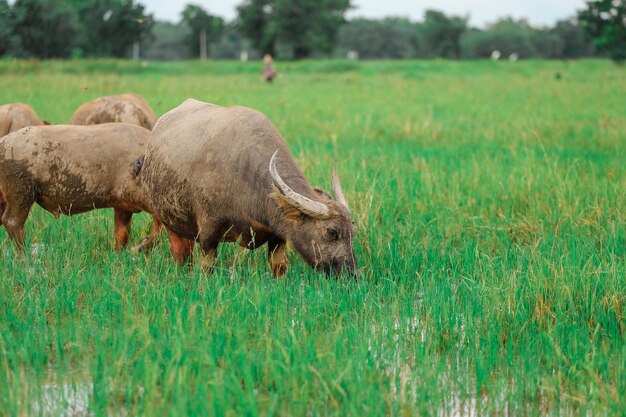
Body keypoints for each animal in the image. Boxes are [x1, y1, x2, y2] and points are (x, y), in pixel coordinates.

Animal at [0, 122, 161, 249]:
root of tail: (4, 142)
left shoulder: (122, 205)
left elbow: (122, 233)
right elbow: (158, 225)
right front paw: (138, 248)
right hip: (21, 192)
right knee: (12, 221)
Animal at [140, 98, 358, 276]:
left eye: (352, 232)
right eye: (332, 231)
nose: (352, 274)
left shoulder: (277, 236)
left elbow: (279, 267)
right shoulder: (209, 233)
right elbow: (206, 268)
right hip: (169, 221)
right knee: (180, 253)